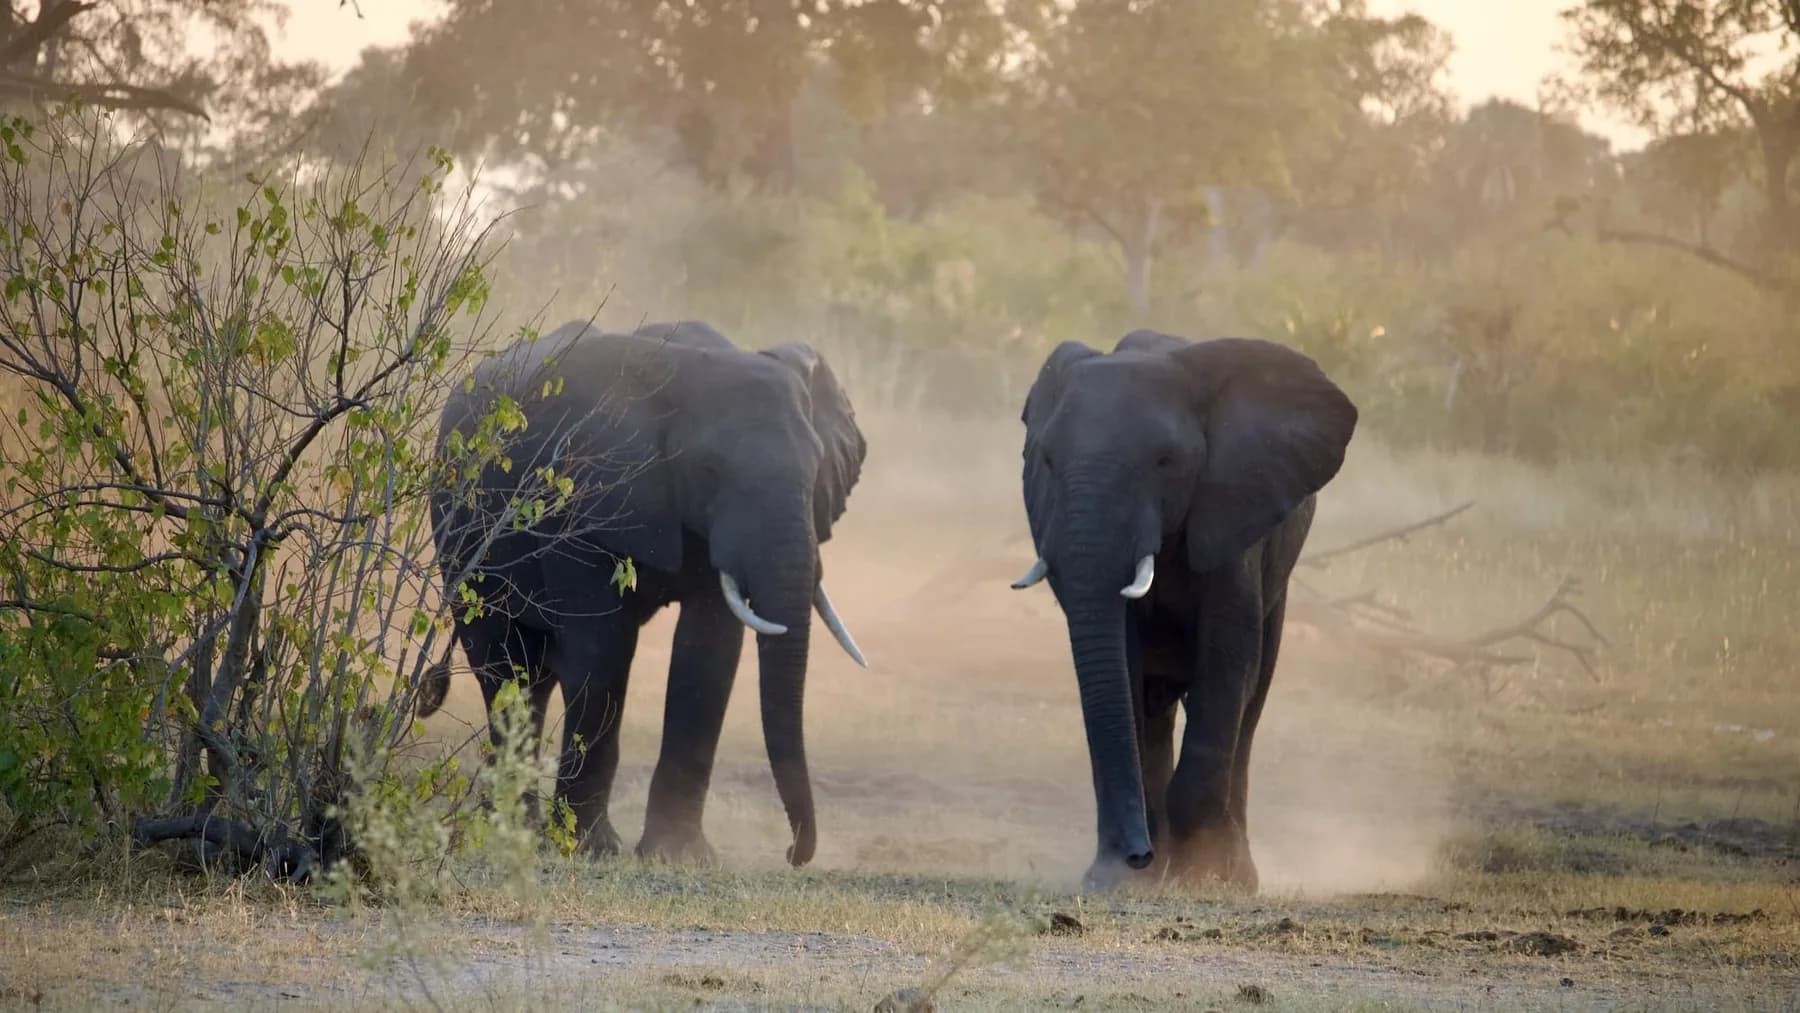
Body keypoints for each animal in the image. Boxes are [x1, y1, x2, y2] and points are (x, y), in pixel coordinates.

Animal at [415, 319, 868, 868]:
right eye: (709, 470)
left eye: (817, 471)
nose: (793, 853)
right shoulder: (581, 502)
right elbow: (602, 647)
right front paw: (590, 850)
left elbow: (707, 651)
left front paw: (680, 856)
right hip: (461, 533)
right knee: (504, 664)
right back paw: (512, 833)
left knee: (535, 676)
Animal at [1011, 329, 1357, 892]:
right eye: (1046, 463)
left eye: (1165, 461)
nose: (1136, 856)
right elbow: (1123, 669)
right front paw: (1121, 879)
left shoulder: (1233, 509)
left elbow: (1227, 658)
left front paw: (1201, 875)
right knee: (1155, 707)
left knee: (1251, 699)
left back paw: (1233, 873)